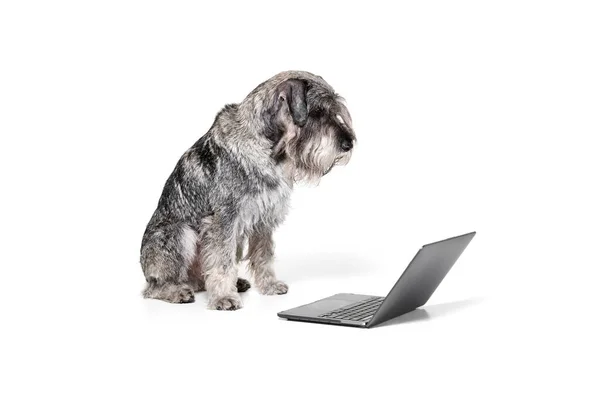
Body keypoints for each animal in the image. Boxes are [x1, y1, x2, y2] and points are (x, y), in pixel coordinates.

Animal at [139, 71, 356, 310]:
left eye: (335, 110)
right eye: (317, 112)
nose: (348, 144)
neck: (271, 148)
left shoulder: (264, 218)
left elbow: (264, 255)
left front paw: (269, 285)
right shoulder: (224, 220)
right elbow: (222, 261)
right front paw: (224, 297)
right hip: (180, 234)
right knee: (153, 287)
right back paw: (177, 291)